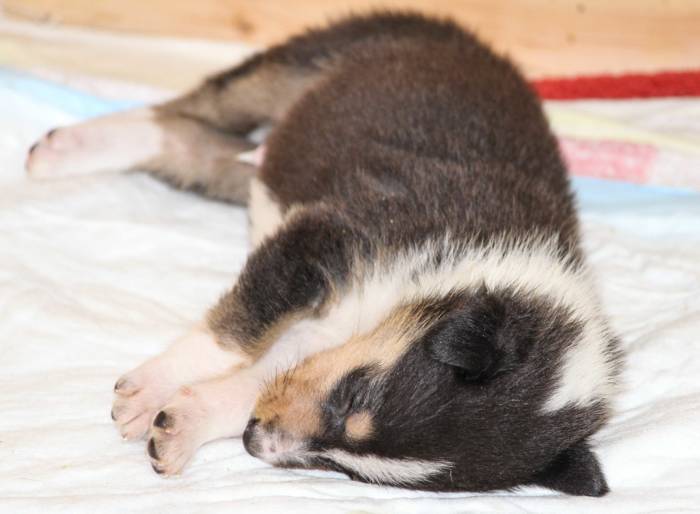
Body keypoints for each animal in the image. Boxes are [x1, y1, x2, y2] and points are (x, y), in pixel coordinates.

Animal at [26, 12, 621, 495]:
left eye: (351, 471)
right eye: (356, 396)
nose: (254, 442)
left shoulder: (313, 344)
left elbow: (252, 382)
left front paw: (177, 422)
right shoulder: (326, 237)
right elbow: (237, 328)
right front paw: (150, 387)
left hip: (245, 171)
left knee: (188, 142)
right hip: (304, 61)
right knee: (178, 111)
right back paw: (58, 150)